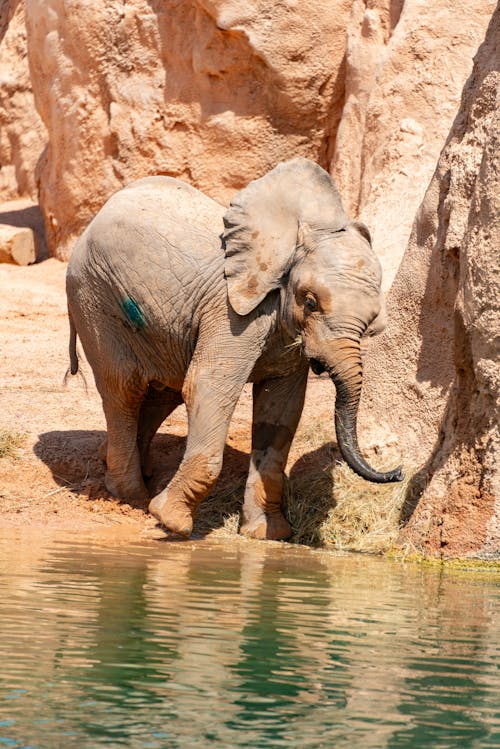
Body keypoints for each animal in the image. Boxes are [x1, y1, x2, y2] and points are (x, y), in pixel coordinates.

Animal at [66, 159, 402, 536]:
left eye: (371, 321)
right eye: (310, 302)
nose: (397, 472)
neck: (295, 240)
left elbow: (281, 409)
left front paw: (268, 534)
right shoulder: (233, 313)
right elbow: (208, 387)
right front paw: (171, 521)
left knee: (162, 393)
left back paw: (122, 467)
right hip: (93, 297)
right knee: (125, 389)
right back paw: (130, 494)